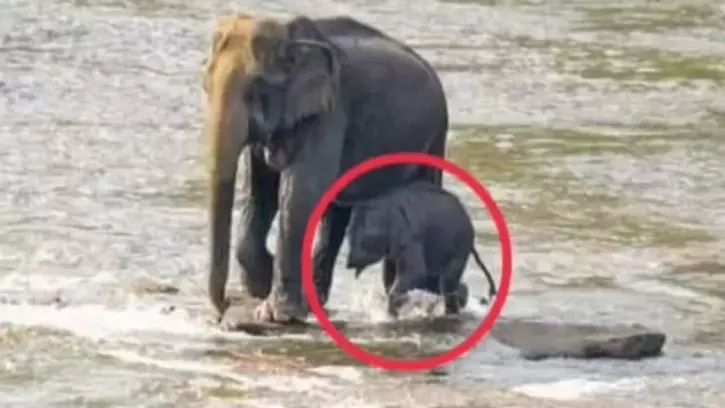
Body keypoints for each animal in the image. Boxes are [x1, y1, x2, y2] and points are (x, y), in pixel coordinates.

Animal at [201, 13, 449, 323]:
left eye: (256, 89)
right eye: (205, 86)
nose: (224, 307)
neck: (288, 34)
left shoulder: (328, 113)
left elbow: (299, 194)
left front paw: (276, 314)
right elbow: (260, 190)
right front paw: (261, 286)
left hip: (434, 137)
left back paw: (412, 306)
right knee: (337, 211)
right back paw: (319, 303)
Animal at [345, 181, 498, 318]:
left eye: (366, 240)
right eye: (349, 234)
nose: (349, 264)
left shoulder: (411, 237)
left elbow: (416, 272)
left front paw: (393, 310)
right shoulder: (394, 249)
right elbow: (390, 274)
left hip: (459, 246)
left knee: (445, 283)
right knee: (436, 283)